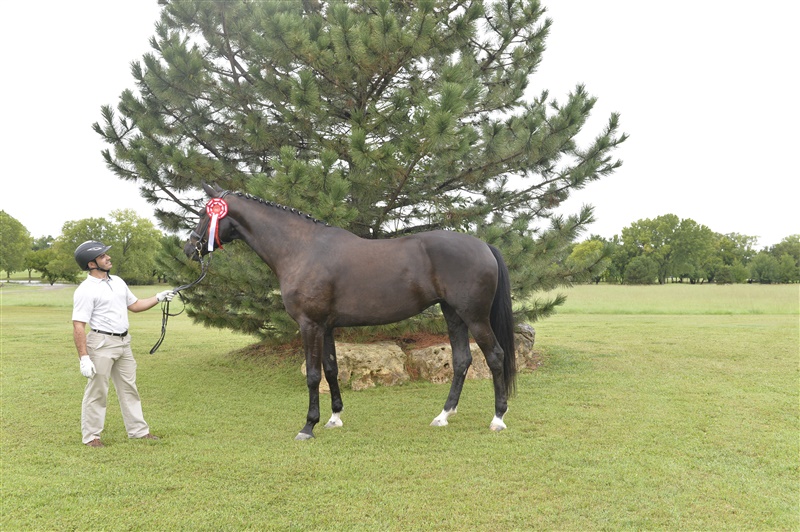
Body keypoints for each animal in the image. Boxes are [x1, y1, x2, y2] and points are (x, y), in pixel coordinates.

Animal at [185, 183, 516, 440]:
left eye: (204, 213)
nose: (190, 249)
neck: (301, 250)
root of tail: (484, 246)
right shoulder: (326, 326)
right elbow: (332, 369)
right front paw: (334, 418)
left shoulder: (309, 325)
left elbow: (313, 375)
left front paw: (308, 426)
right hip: (453, 314)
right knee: (461, 360)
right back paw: (443, 415)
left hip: (474, 316)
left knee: (495, 356)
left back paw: (498, 419)